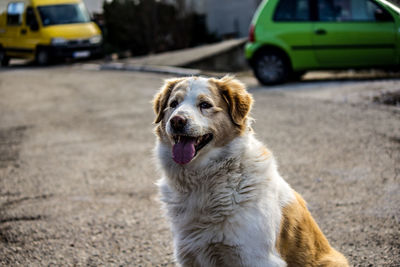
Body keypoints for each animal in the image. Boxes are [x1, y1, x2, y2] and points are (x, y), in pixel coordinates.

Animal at [152, 76, 346, 266]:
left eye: (205, 104)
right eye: (173, 104)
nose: (177, 121)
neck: (203, 179)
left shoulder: (256, 256)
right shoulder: (190, 254)